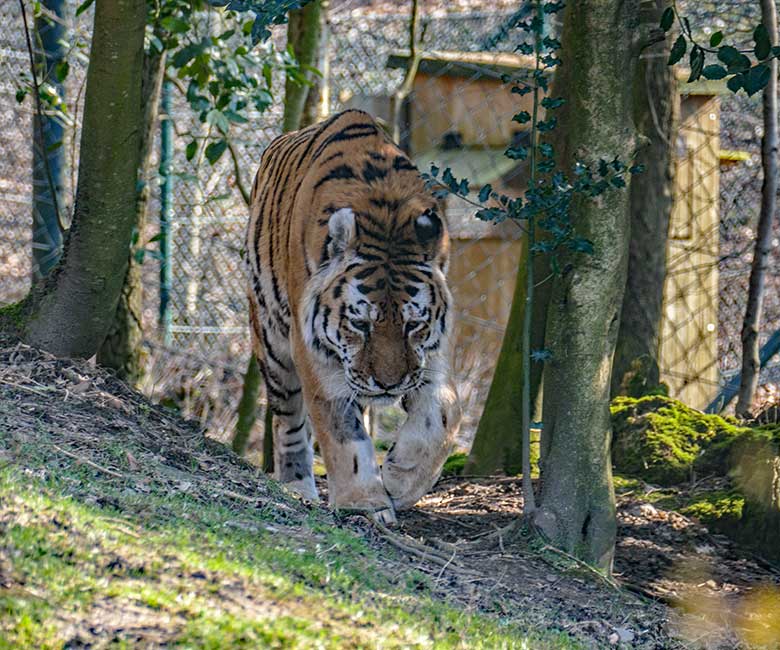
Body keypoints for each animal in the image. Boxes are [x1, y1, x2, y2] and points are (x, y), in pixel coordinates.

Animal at [247, 107, 460, 520]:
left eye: (413, 324)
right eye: (360, 324)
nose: (389, 384)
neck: (386, 212)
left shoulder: (431, 353)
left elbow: (443, 414)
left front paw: (399, 480)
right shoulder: (312, 348)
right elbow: (341, 430)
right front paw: (365, 502)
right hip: (272, 340)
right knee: (288, 422)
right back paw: (298, 488)